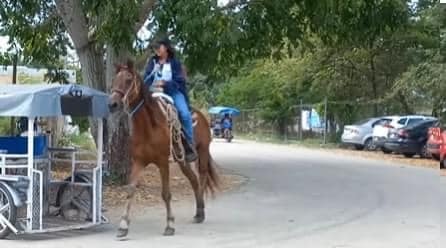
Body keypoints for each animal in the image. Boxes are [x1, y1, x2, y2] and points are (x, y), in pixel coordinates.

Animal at [108, 60, 220, 238]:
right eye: (114, 80)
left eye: (128, 79)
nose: (112, 104)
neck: (149, 126)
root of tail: (202, 116)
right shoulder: (139, 161)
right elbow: (130, 189)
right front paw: (123, 226)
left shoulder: (162, 162)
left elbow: (166, 194)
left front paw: (170, 225)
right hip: (182, 160)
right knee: (194, 180)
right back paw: (197, 213)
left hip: (202, 152)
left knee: (201, 177)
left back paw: (201, 212)